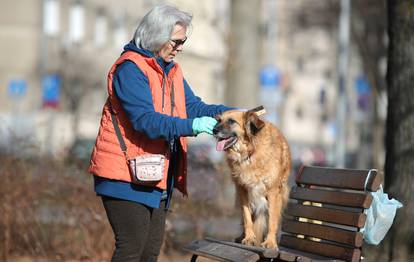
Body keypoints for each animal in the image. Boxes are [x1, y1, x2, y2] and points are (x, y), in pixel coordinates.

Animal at [213, 109, 292, 249]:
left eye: (231, 121)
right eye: (219, 120)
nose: (213, 130)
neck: (250, 153)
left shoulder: (273, 192)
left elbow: (272, 220)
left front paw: (270, 242)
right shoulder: (243, 190)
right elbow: (247, 217)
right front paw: (249, 238)